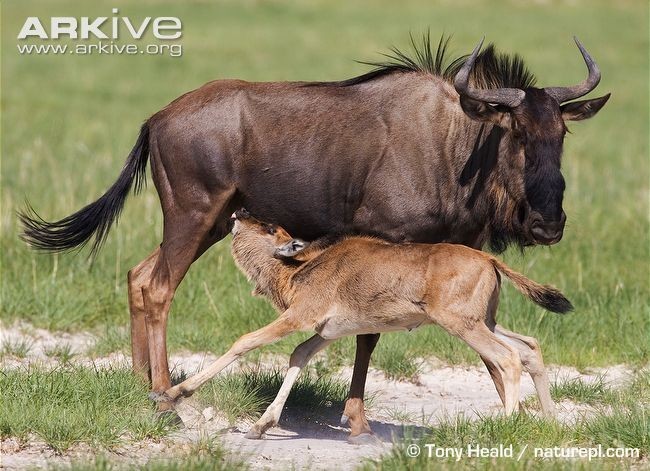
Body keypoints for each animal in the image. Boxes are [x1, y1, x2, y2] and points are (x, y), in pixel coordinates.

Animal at [161, 208, 568, 440]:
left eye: (270, 227)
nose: (239, 211)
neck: (299, 269)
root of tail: (489, 260)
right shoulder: (326, 331)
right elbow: (298, 356)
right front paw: (261, 426)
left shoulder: (297, 317)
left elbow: (244, 341)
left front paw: (173, 393)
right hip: (486, 320)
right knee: (529, 347)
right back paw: (549, 423)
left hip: (462, 325)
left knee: (507, 358)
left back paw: (508, 426)